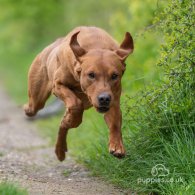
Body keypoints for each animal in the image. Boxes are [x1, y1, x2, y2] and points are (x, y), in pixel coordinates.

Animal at [23, 26, 133, 161]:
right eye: (91, 75)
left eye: (114, 76)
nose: (104, 99)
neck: (97, 45)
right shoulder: (58, 85)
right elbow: (75, 104)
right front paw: (74, 119)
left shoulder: (113, 99)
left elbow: (115, 122)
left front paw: (117, 146)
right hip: (37, 99)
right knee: (33, 108)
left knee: (62, 124)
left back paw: (60, 149)